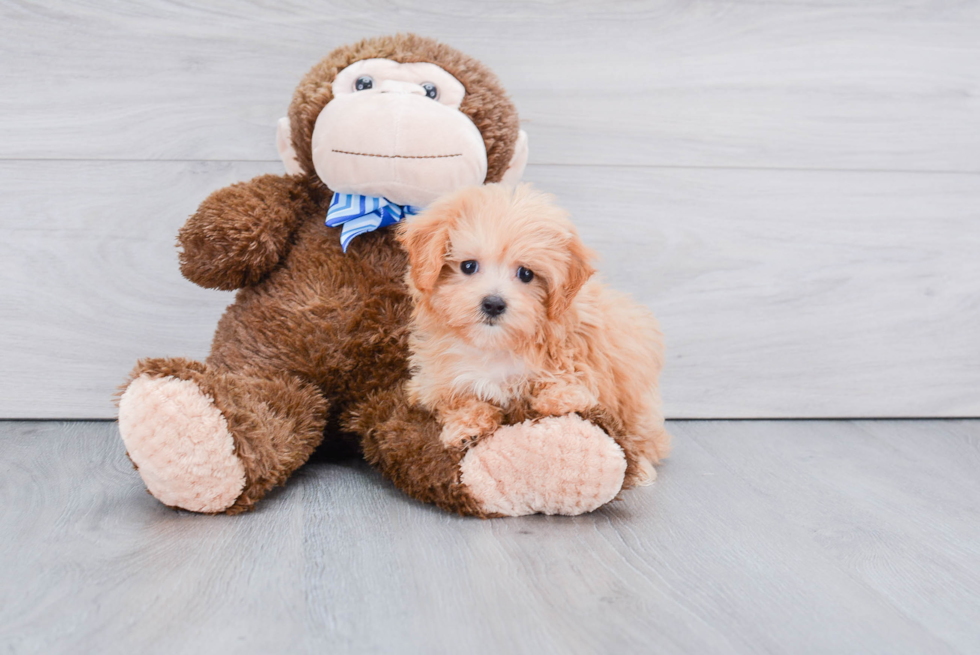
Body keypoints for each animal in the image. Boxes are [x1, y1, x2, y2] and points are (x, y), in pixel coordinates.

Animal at [394, 182, 668, 480]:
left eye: (526, 274)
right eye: (468, 266)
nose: (493, 304)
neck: (495, 346)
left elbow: (566, 379)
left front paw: (560, 398)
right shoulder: (435, 381)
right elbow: (458, 400)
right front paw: (466, 428)